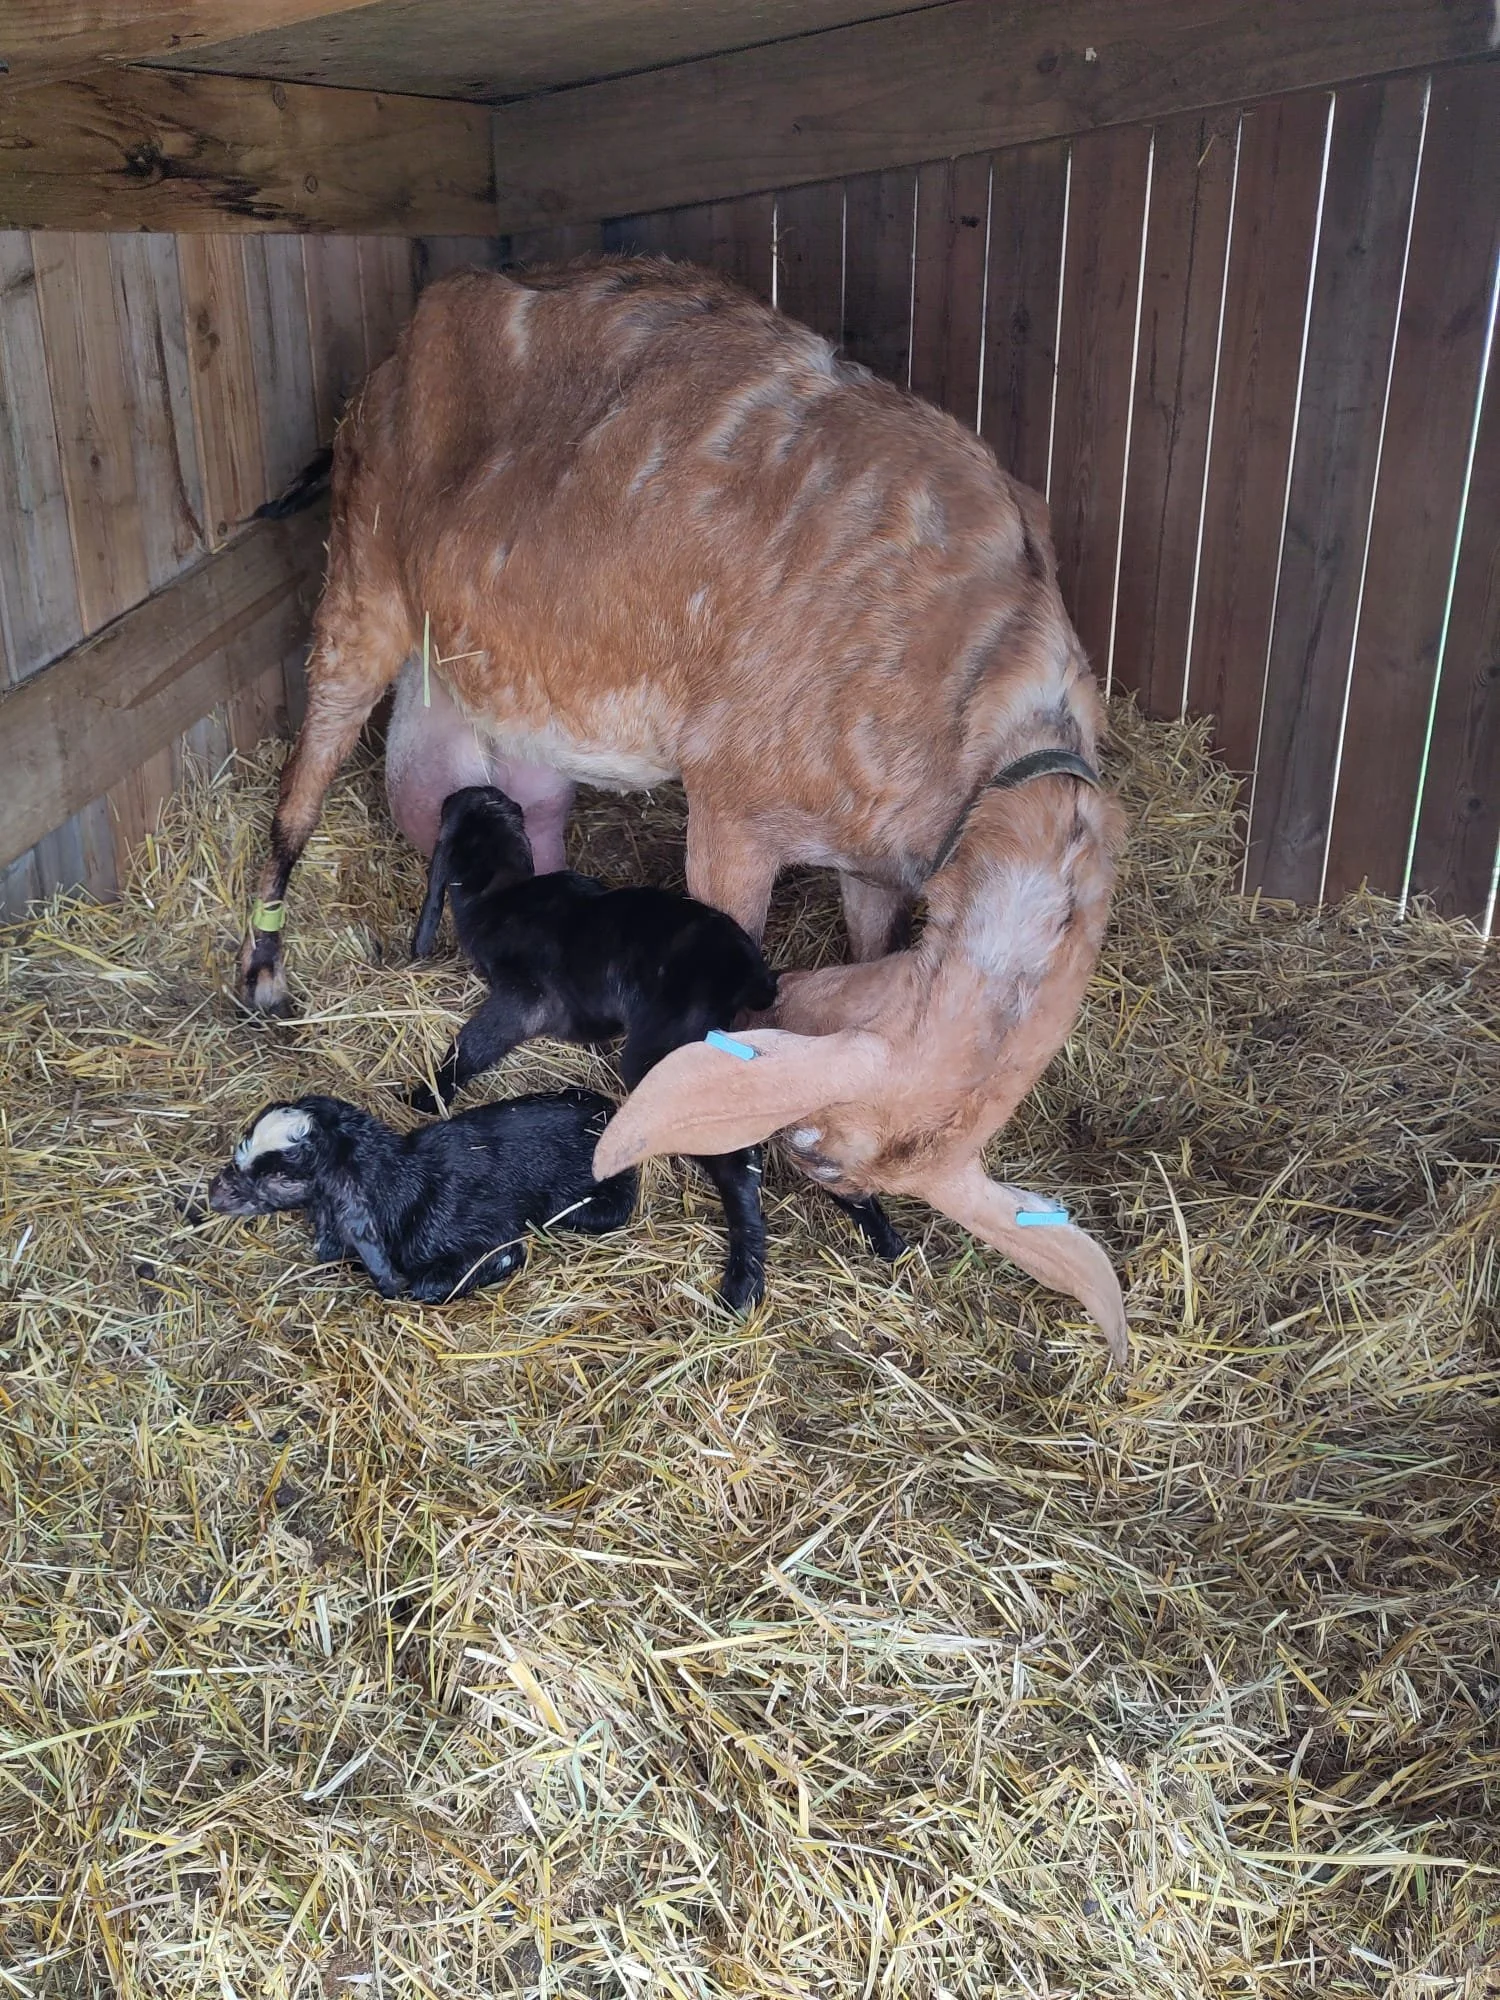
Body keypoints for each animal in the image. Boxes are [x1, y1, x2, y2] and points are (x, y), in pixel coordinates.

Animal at [409, 783, 904, 1308]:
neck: (501, 893)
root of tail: (749, 974)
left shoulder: (524, 998)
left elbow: (476, 1042)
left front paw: (427, 1093)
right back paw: (883, 1237)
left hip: (663, 1060)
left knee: (736, 1163)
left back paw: (742, 1283)